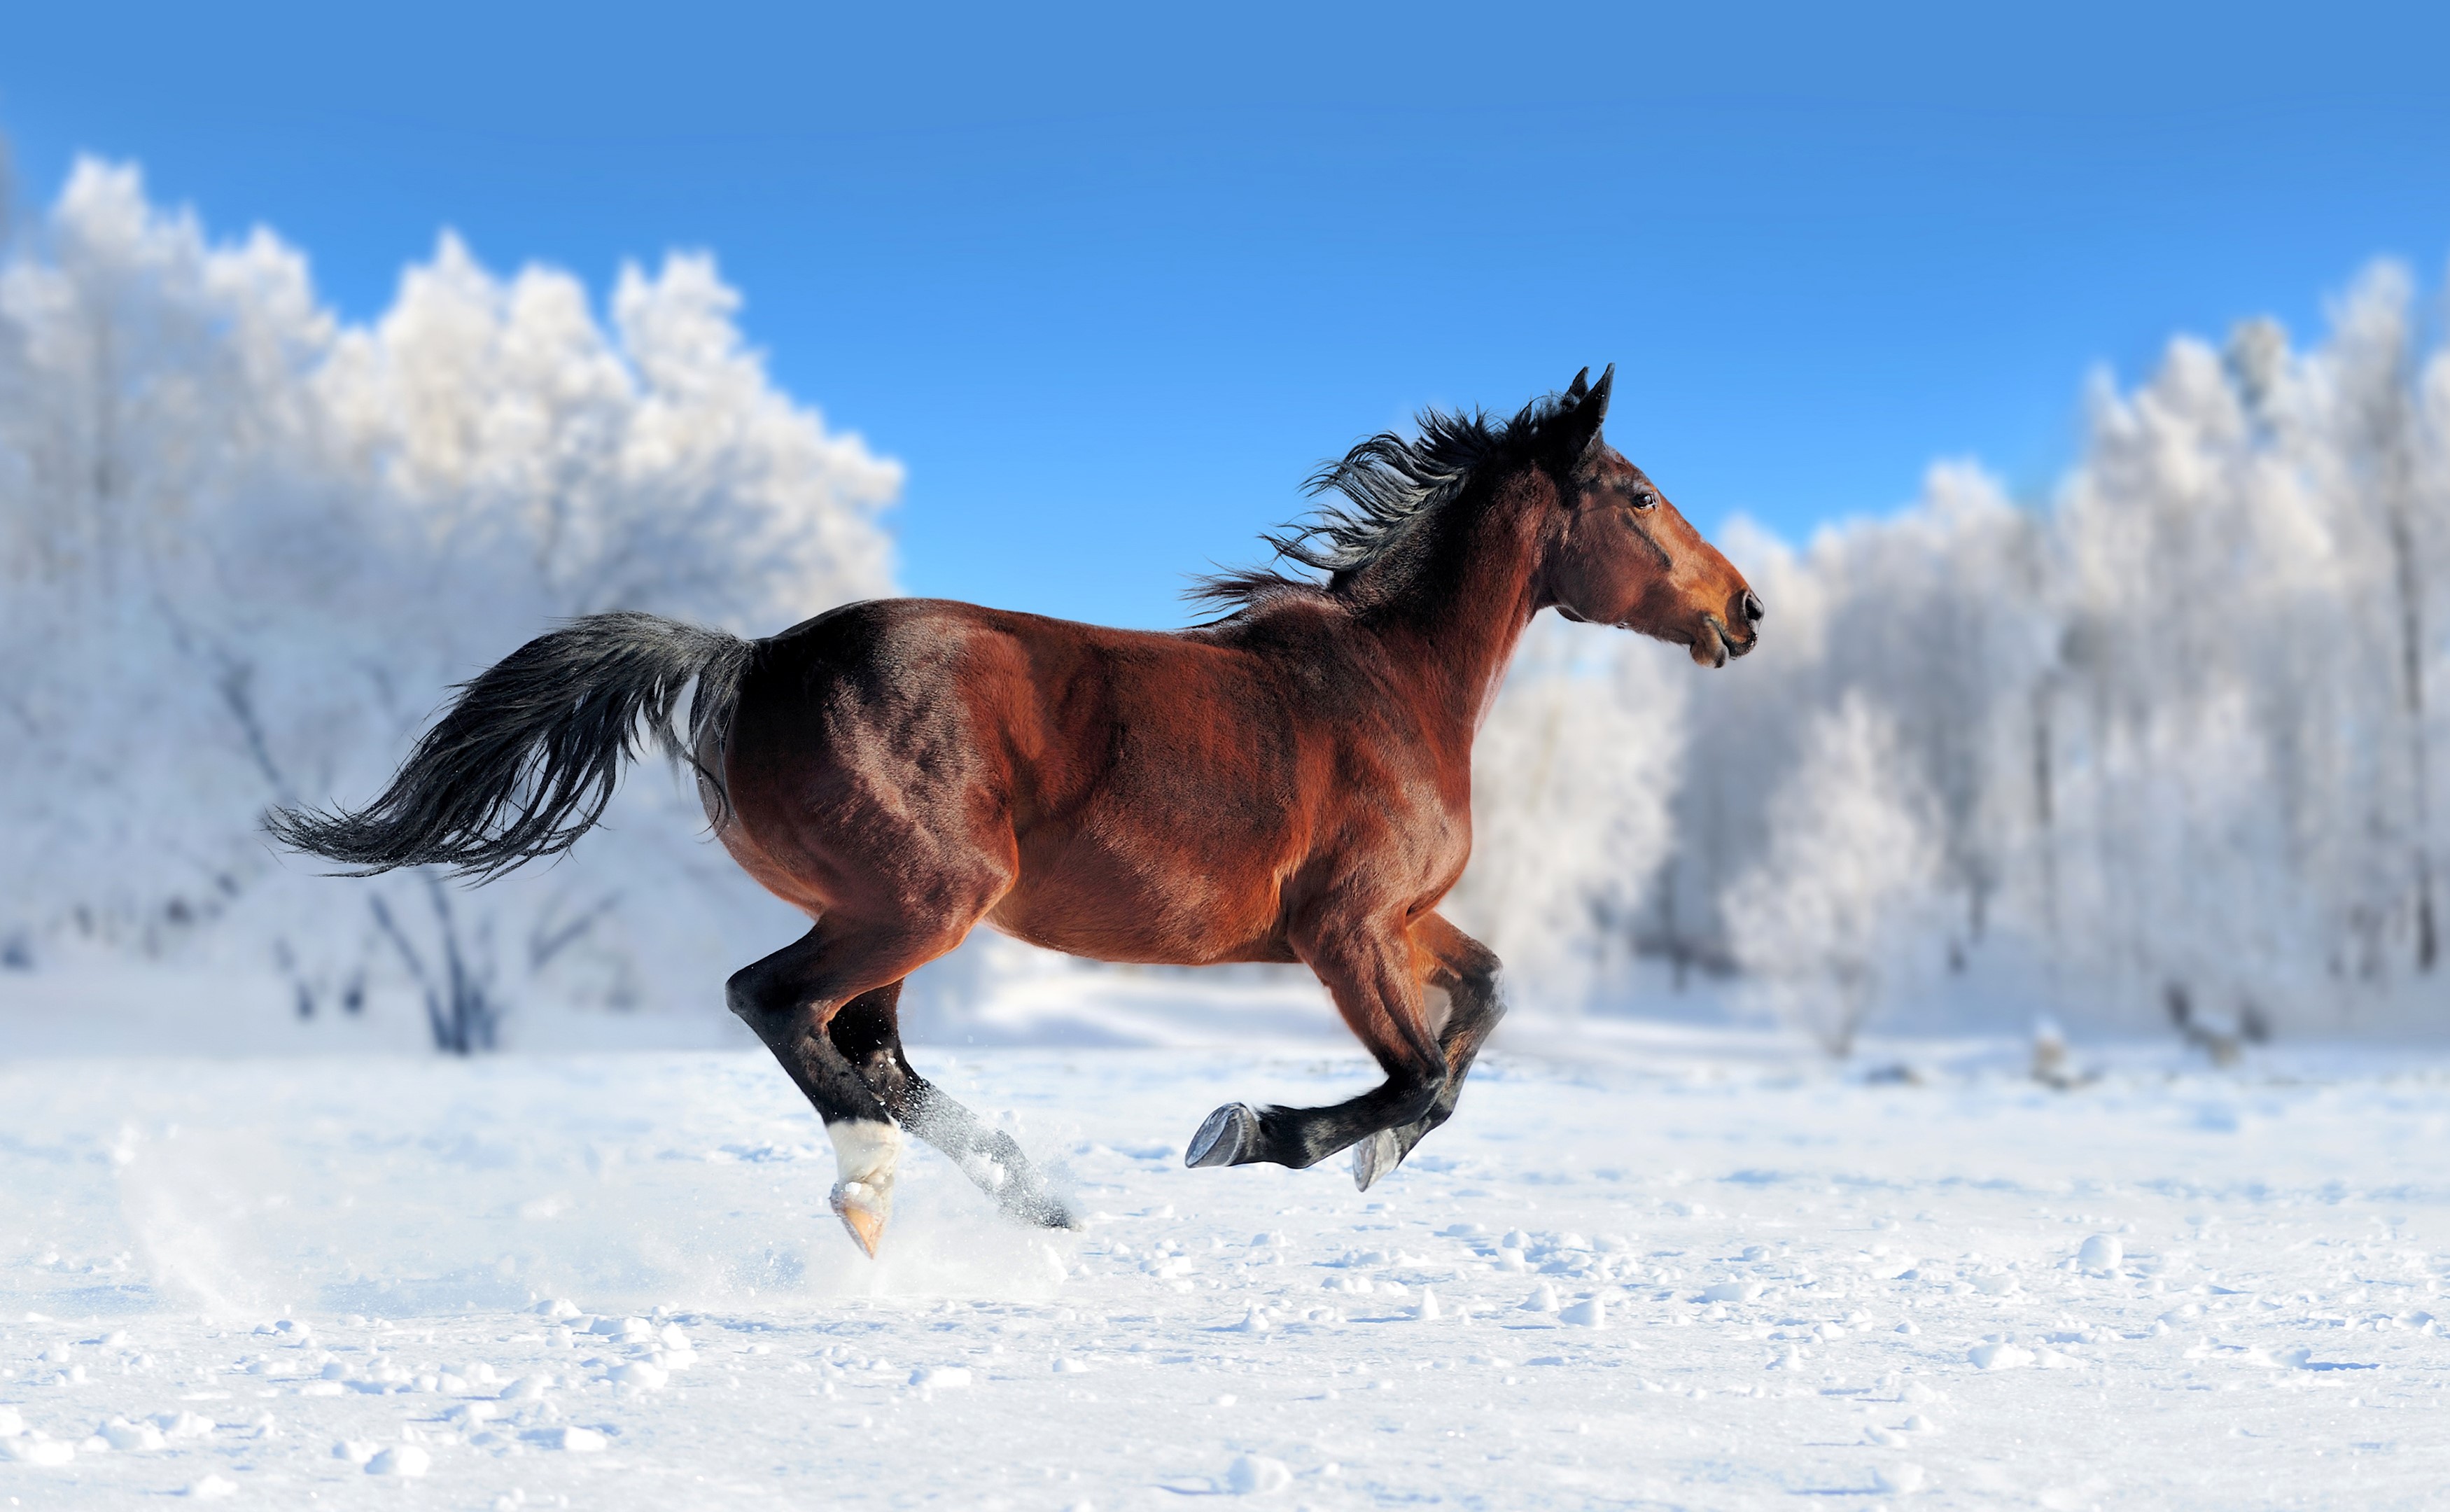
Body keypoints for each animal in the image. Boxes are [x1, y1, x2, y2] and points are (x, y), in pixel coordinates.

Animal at [268, 365, 1762, 1257]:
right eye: (1637, 496)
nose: (1744, 610)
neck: (1390, 683)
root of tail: (753, 659)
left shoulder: (1402, 919)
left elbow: (1482, 1010)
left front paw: (1360, 1159)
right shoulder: (1344, 929)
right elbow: (1420, 1076)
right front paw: (1253, 1134)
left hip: (888, 912)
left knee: (865, 1045)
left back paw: (1030, 1197)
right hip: (922, 899)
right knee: (783, 1008)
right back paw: (884, 1187)